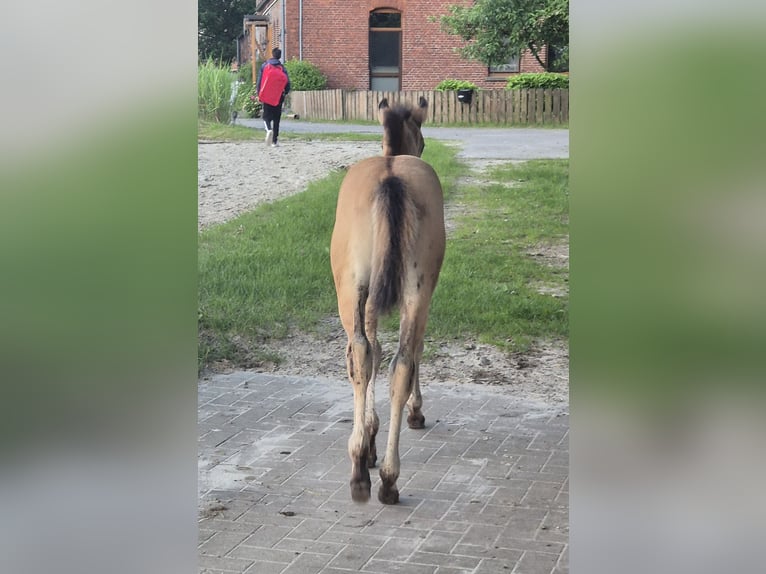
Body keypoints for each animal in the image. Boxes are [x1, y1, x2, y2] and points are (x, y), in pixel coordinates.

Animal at [332, 98, 450, 504]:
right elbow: (413, 349)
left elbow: (374, 352)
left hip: (354, 289)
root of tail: (390, 178)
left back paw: (365, 471)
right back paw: (384, 476)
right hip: (416, 291)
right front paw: (411, 413)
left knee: (363, 354)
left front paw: (369, 438)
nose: (423, 148)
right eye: (423, 140)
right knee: (401, 358)